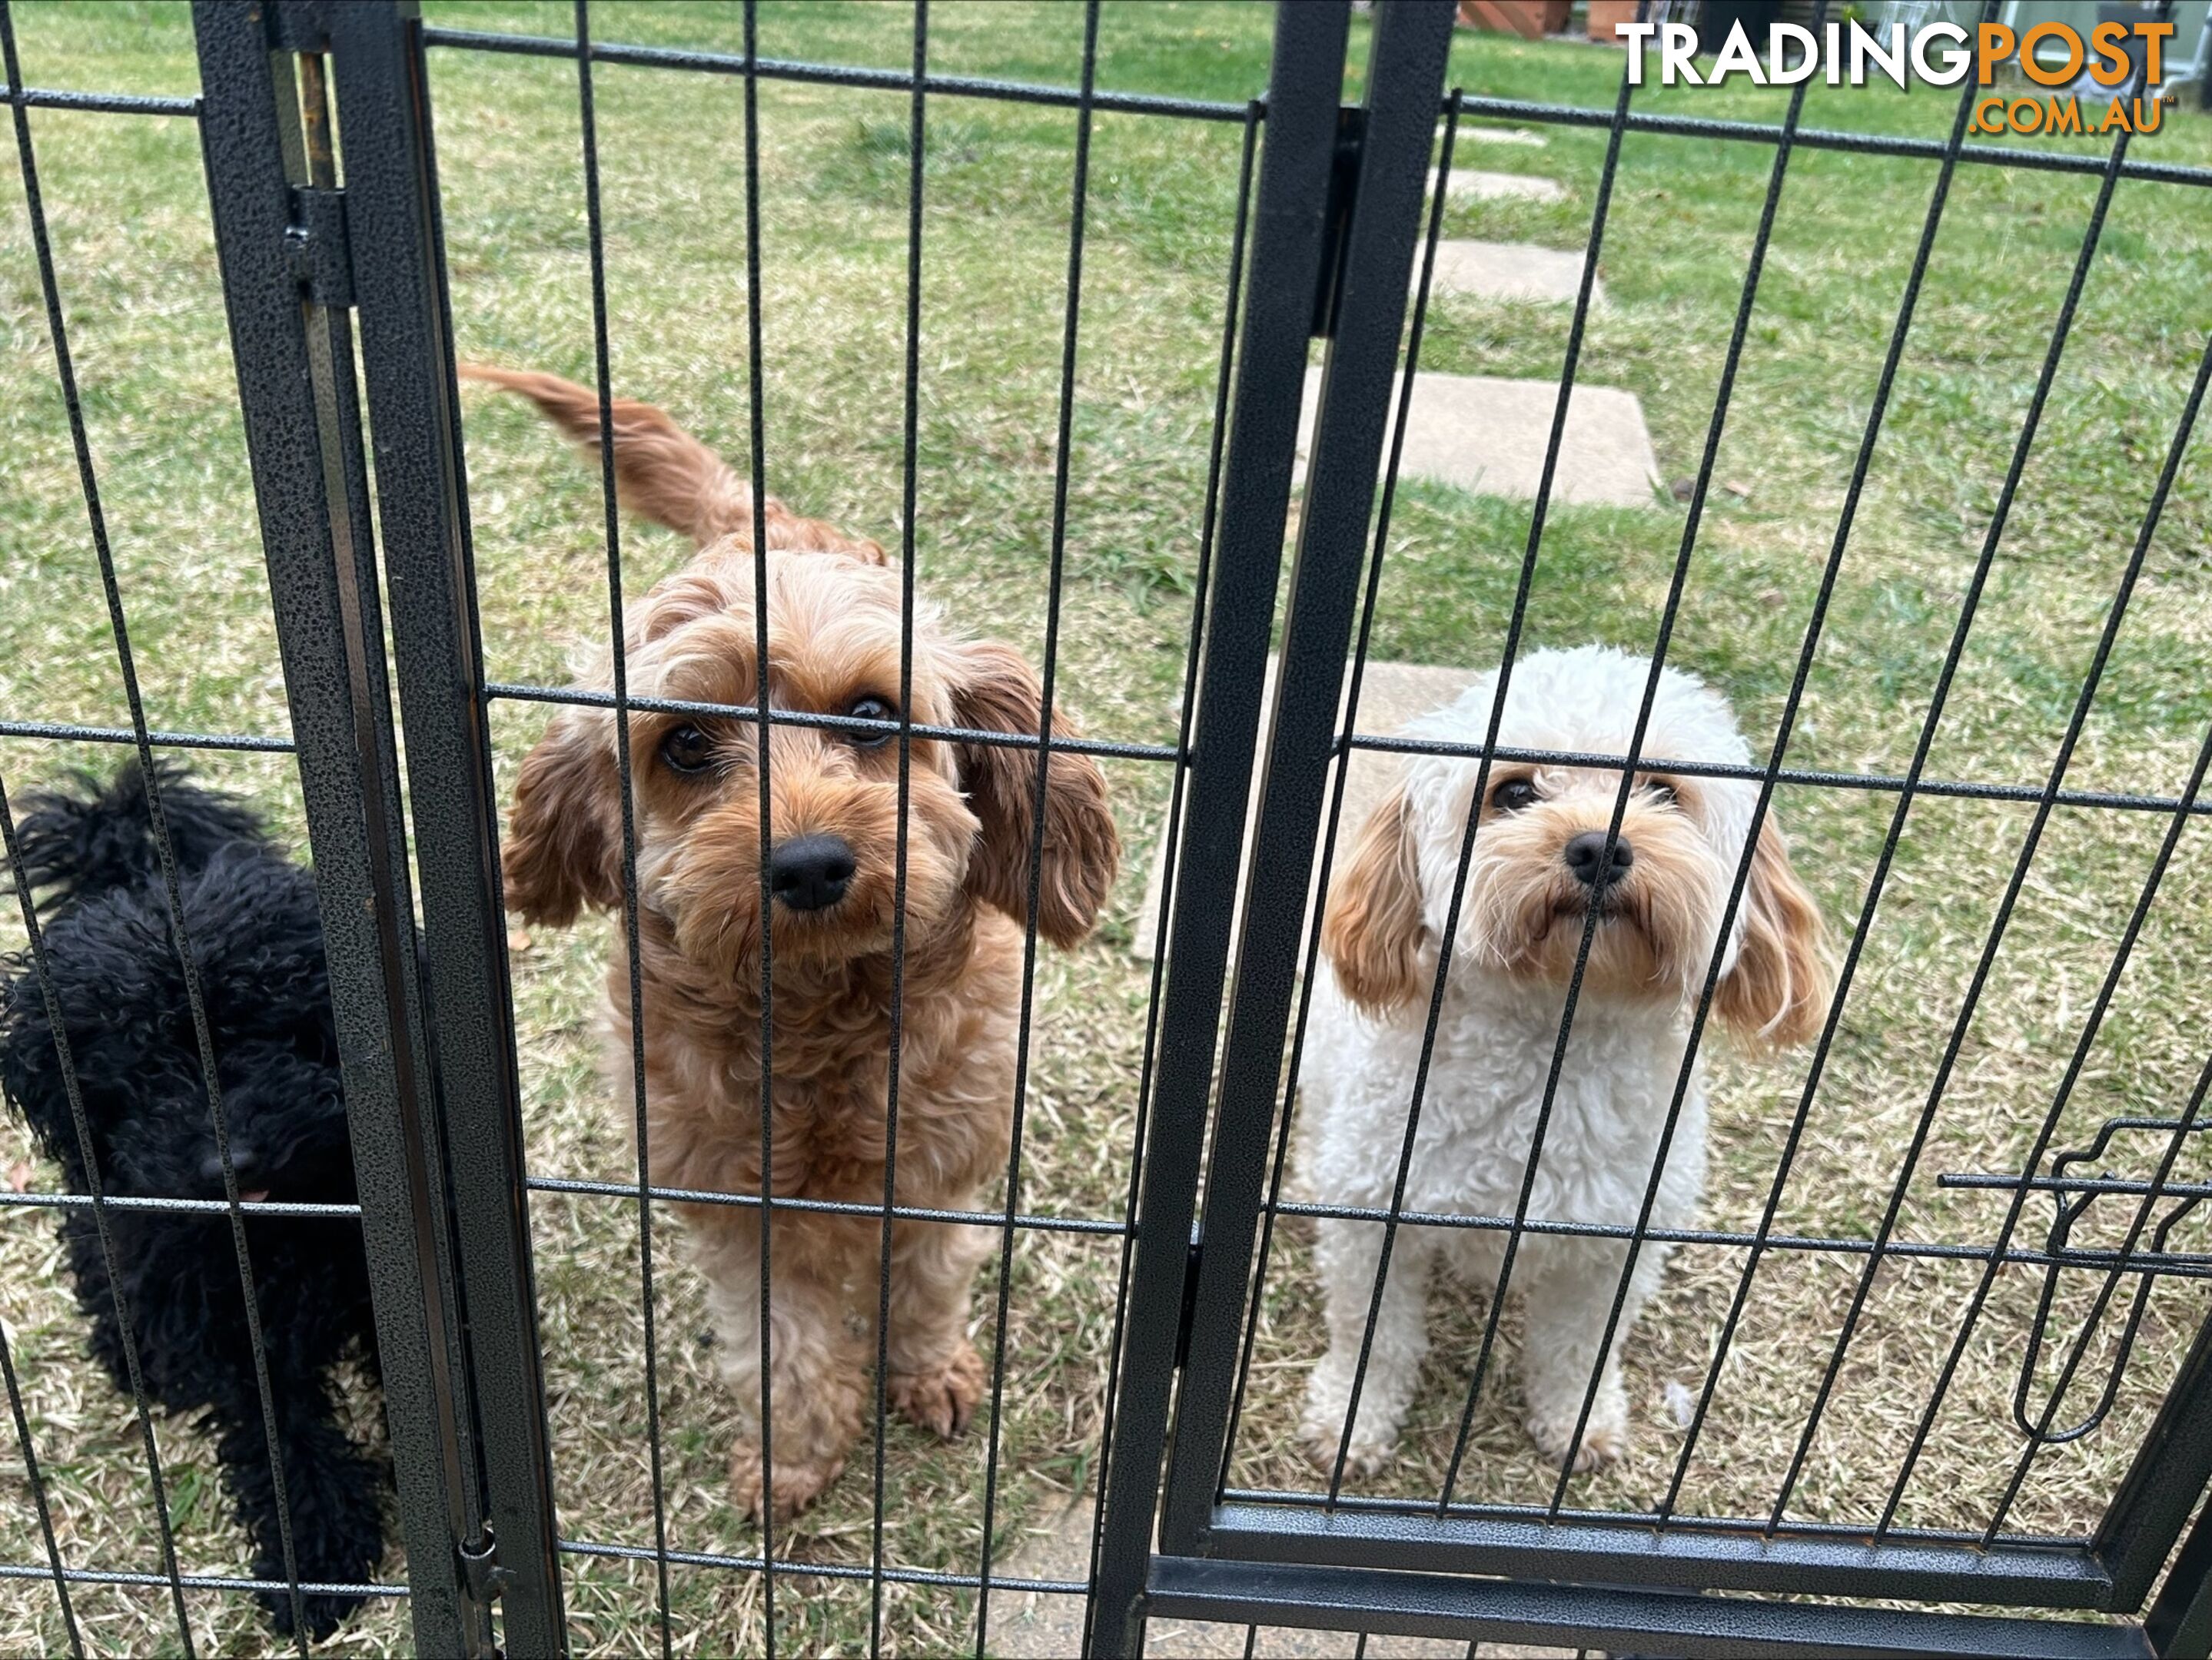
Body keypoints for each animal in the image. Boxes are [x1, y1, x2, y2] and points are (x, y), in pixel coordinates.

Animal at [2, 765, 384, 1635]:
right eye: (141, 1069)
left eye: (271, 1027)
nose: (227, 1160)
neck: (277, 1236)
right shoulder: (223, 1324)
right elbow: (273, 1433)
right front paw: (316, 1558)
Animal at [1291, 641, 1831, 1476]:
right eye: (1513, 792)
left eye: (1663, 792)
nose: (1599, 846)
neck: (1549, 1048)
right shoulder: (1368, 1223)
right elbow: (1371, 1340)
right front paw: (1352, 1421)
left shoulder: (1613, 1249)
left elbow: (1575, 1350)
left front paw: (1579, 1423)